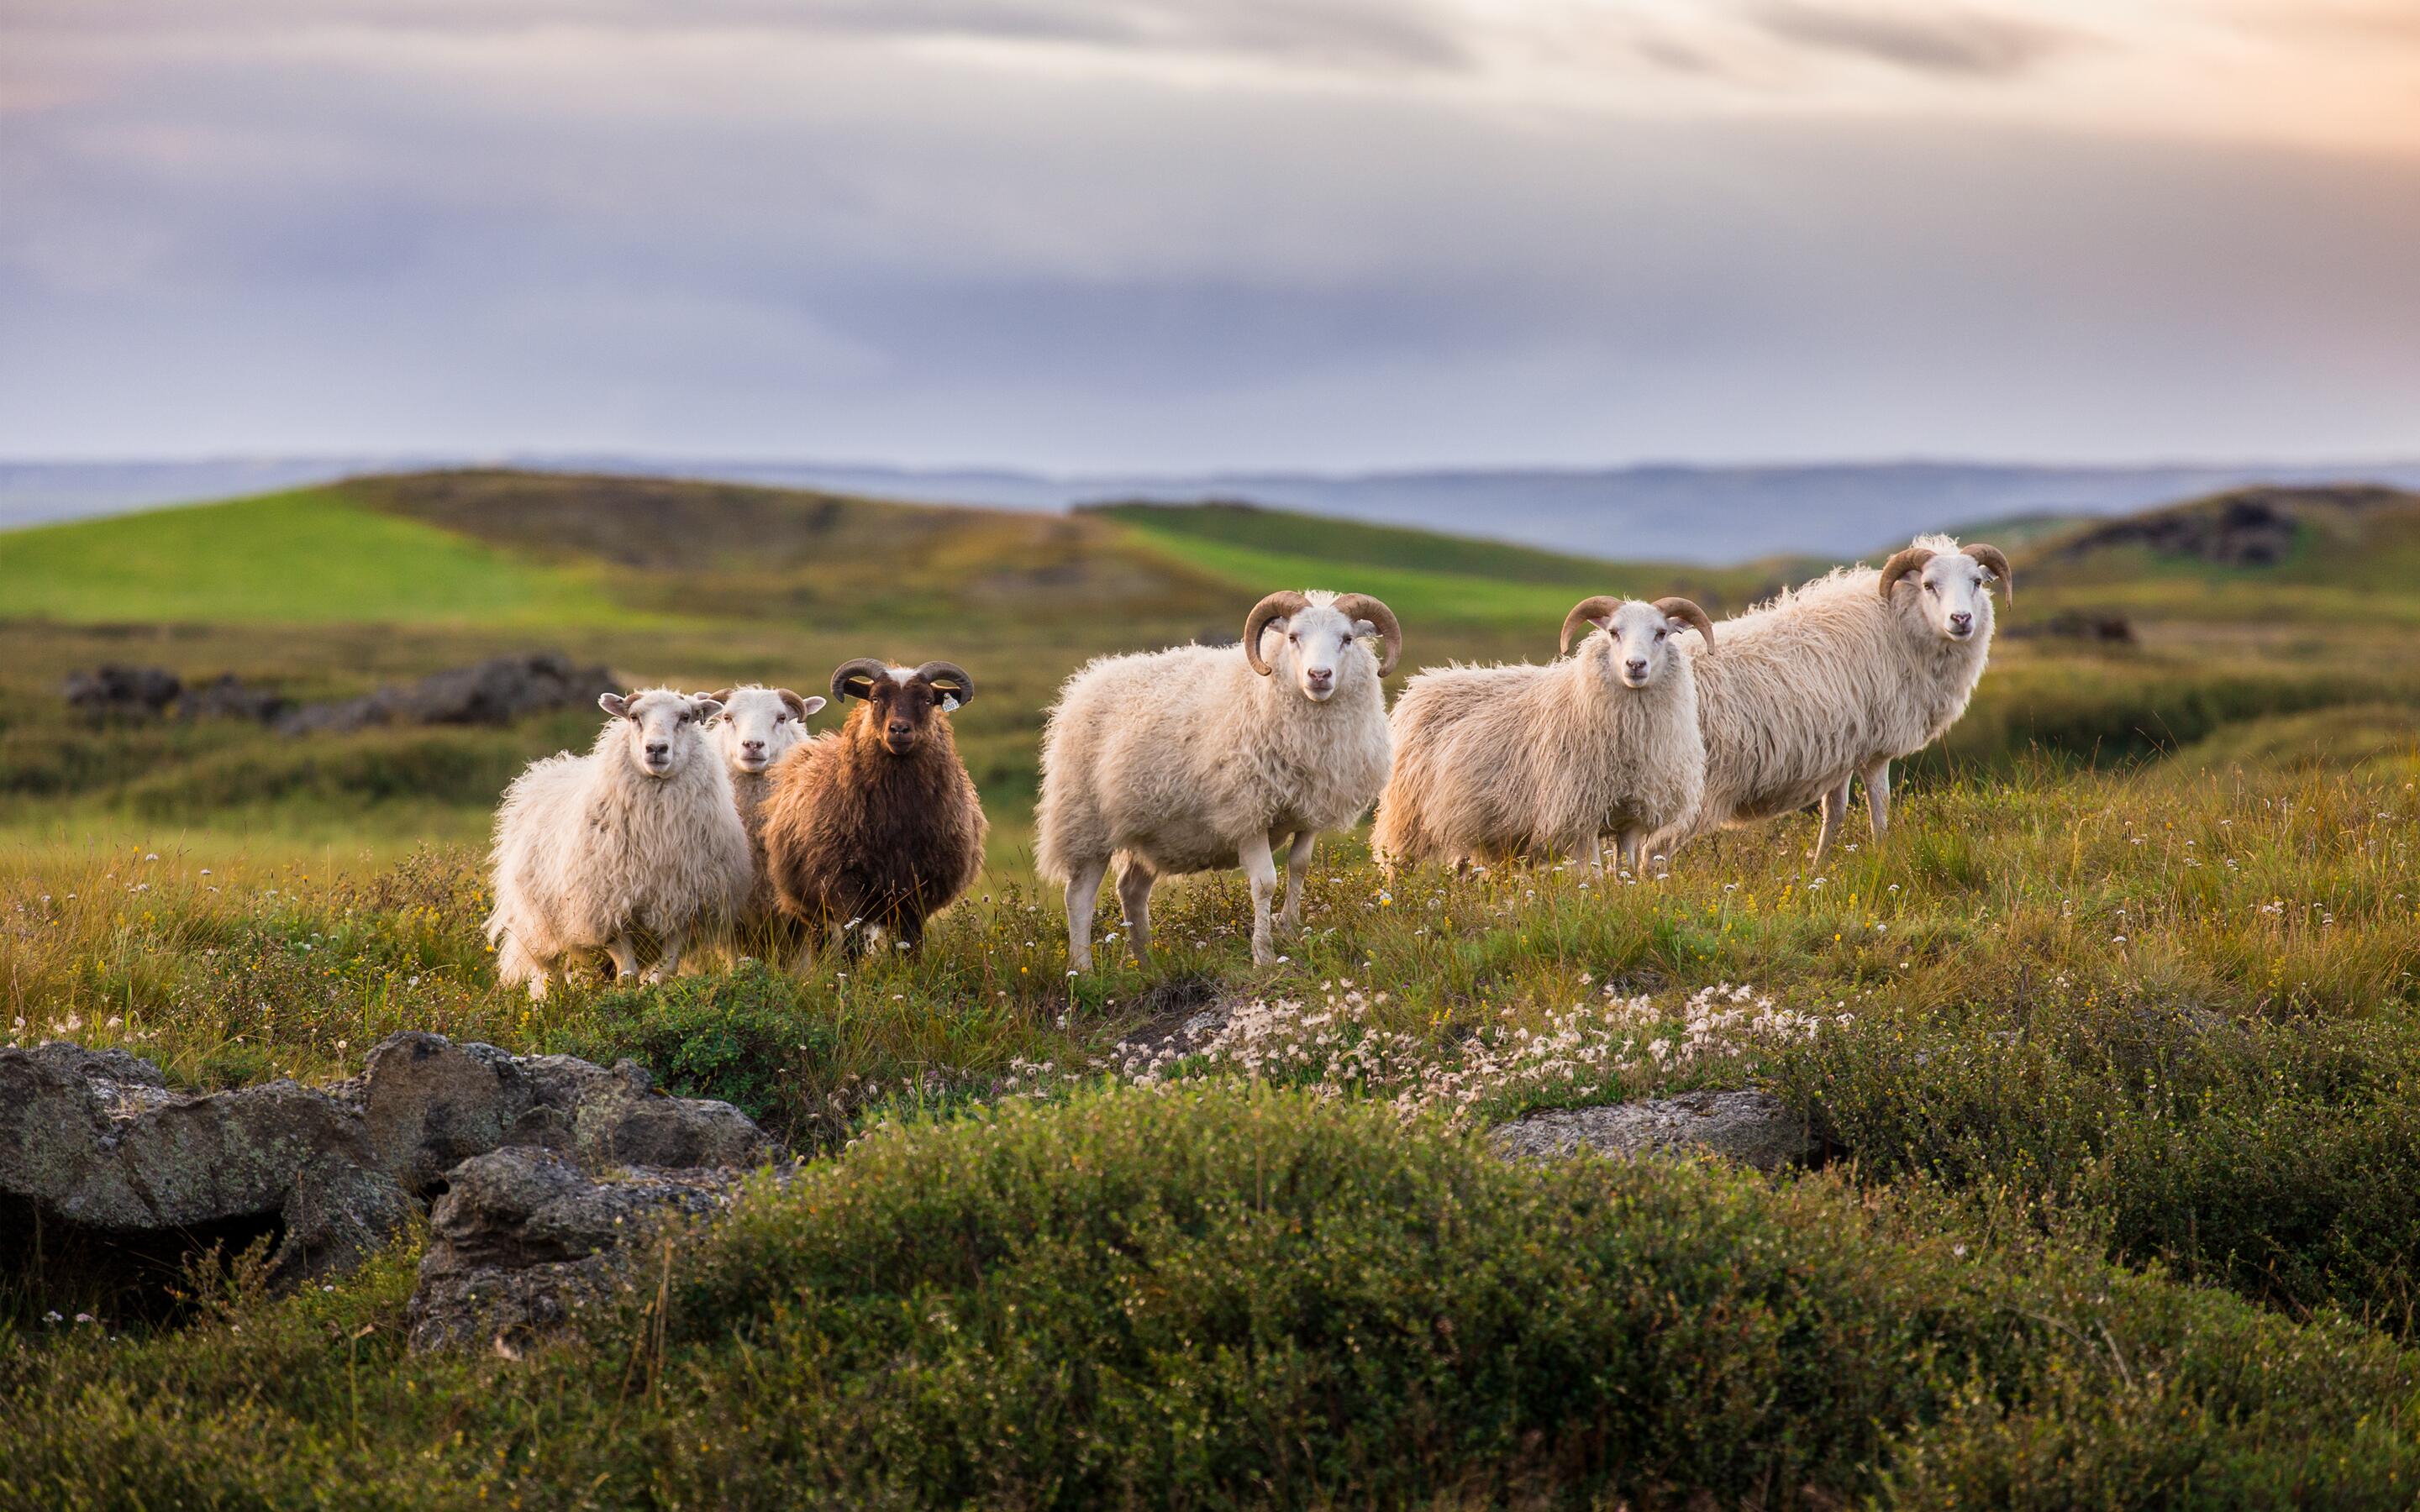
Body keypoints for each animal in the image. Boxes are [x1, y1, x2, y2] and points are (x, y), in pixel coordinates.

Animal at [484, 688, 753, 999]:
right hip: (539, 923)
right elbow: (628, 975)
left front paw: (652, 995)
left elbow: (666, 971)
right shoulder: (607, 911)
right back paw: (552, 1003)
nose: (656, 749)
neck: (658, 840)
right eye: (634, 717)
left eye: (685, 717)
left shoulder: (682, 910)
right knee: (551, 973)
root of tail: (547, 769)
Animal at [758, 659, 986, 960]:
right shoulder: (845, 886)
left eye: (927, 700)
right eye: (876, 698)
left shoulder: (918, 891)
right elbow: (851, 947)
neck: (897, 819)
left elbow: (911, 945)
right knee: (822, 941)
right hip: (810, 905)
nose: (899, 730)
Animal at [1037, 589, 1400, 973]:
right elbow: (1264, 883)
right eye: (1292, 637)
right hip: (1085, 822)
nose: (1319, 675)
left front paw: (1289, 928)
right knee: (1079, 896)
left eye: (1346, 638)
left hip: (1149, 831)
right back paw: (1083, 969)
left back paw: (1146, 962)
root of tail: (1086, 681)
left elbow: (1299, 867)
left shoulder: (1310, 810)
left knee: (1131, 890)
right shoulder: (1247, 812)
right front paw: (1263, 955)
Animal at [1372, 595, 1714, 875]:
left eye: (1661, 633)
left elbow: (1625, 871)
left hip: (1468, 823)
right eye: (1614, 632)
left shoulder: (1630, 818)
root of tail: (1422, 684)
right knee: (1397, 866)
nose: (1635, 665)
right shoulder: (1578, 816)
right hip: (1406, 815)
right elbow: (1595, 876)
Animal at [1647, 535, 2011, 863]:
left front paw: (1818, 868)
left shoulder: (1841, 751)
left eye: (1977, 582)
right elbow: (1880, 808)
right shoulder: (1875, 751)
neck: (1896, 624)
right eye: (1929, 584)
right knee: (1654, 849)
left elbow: (1834, 814)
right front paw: (1884, 858)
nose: (1961, 619)